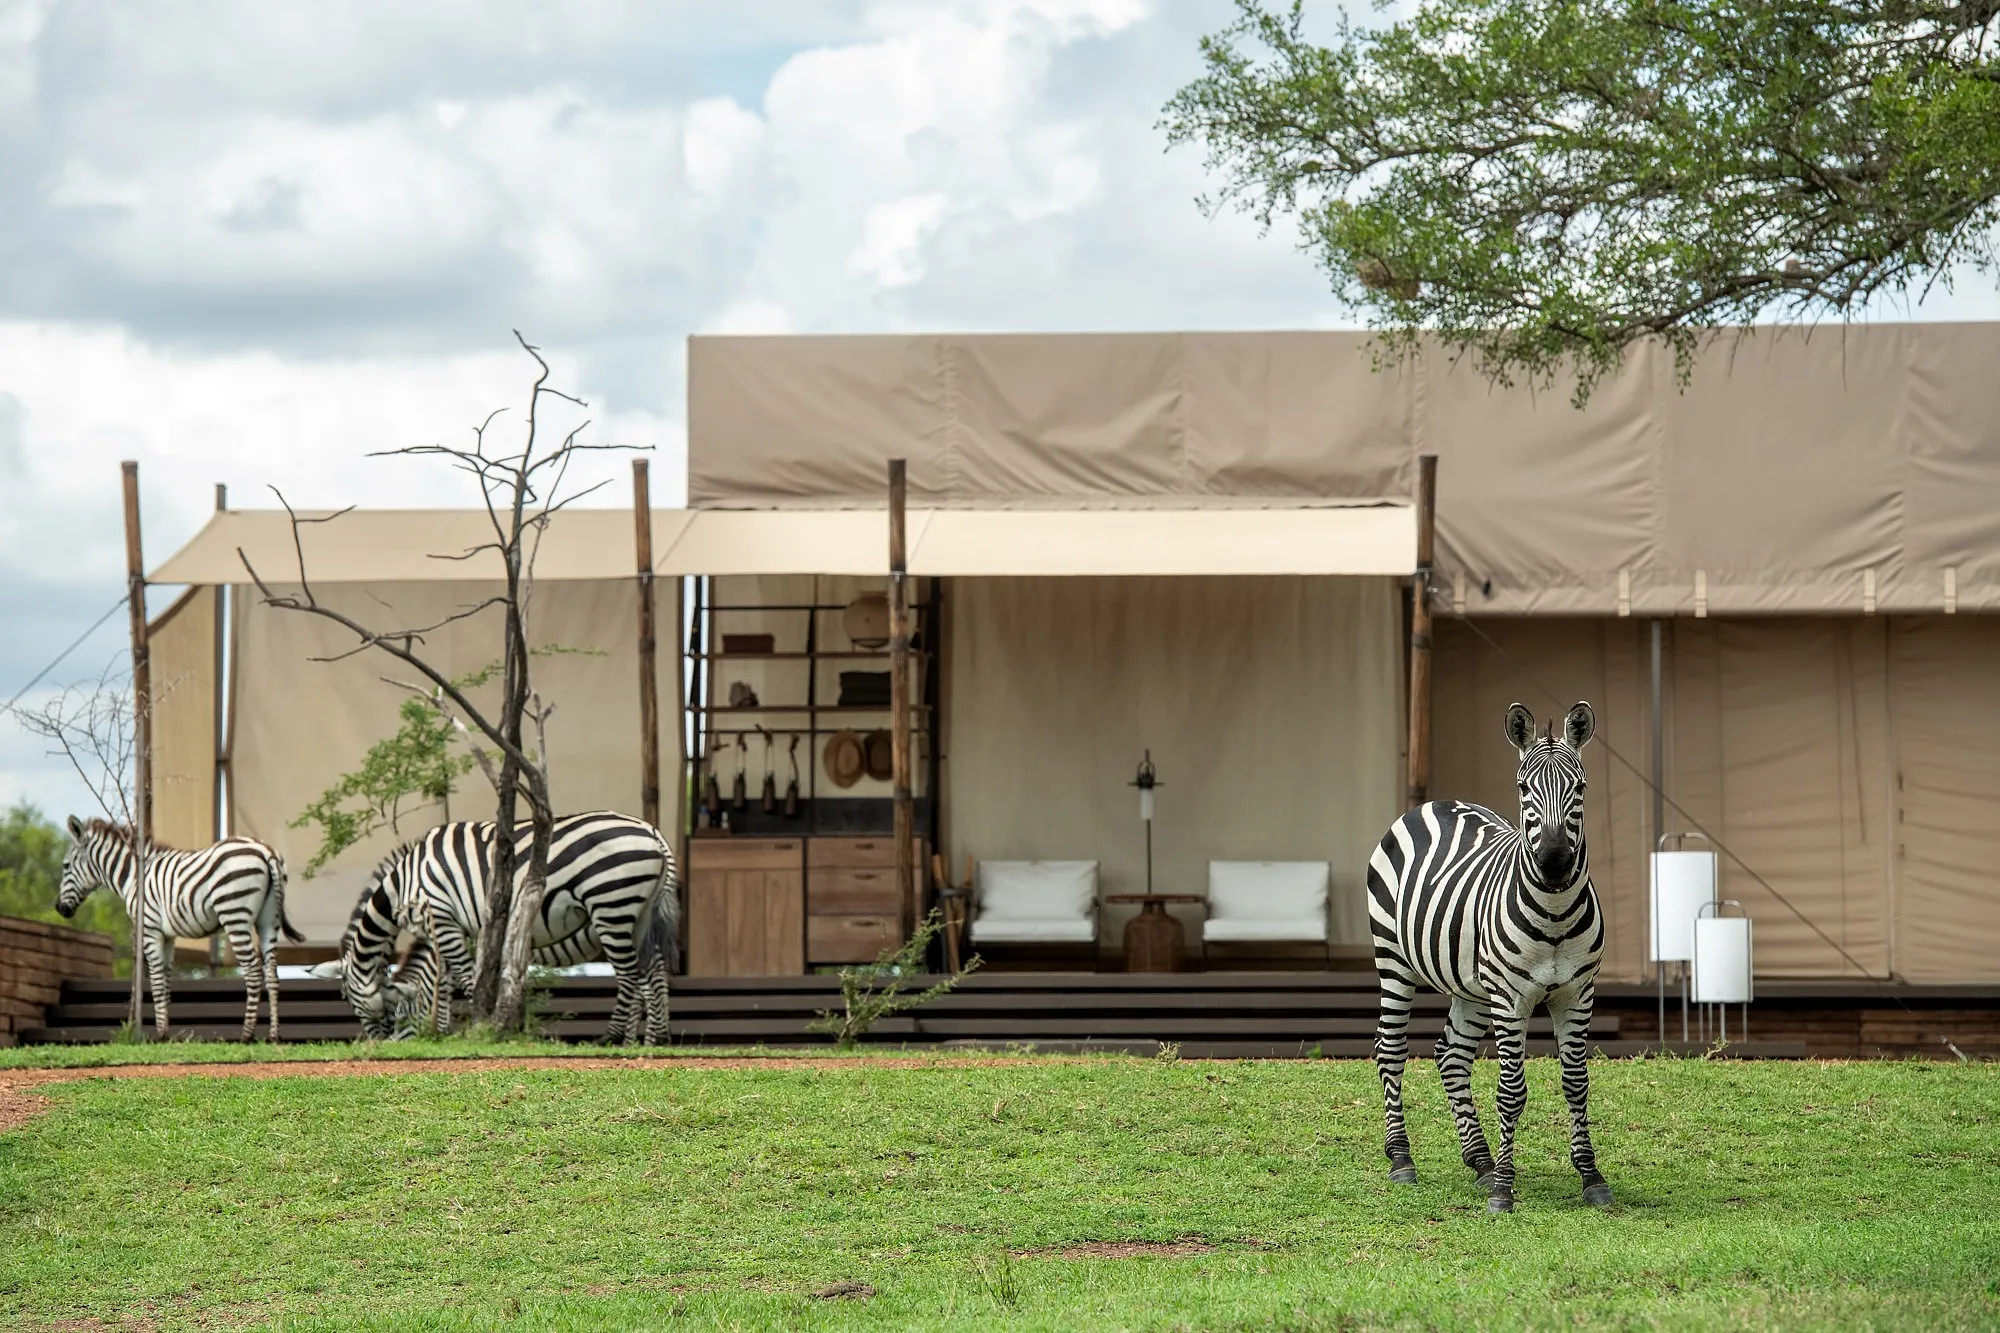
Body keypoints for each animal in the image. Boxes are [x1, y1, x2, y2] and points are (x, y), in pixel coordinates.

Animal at [56, 815, 305, 1041]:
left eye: (66, 866)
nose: (59, 908)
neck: (134, 876)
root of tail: (265, 850)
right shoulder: (168, 936)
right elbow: (166, 980)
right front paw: (167, 1032)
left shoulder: (149, 929)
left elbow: (156, 980)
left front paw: (159, 1035)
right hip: (268, 920)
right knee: (272, 973)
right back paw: (274, 1035)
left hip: (234, 913)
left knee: (253, 970)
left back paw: (246, 1034)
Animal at [334, 813, 678, 1044]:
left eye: (350, 1001)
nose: (375, 1043)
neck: (405, 882)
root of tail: (653, 832)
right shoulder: (457, 928)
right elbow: (446, 979)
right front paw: (444, 1030)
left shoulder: (444, 917)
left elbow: (461, 977)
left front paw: (478, 1023)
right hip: (639, 913)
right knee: (652, 974)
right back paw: (650, 1040)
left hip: (611, 904)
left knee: (632, 976)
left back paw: (614, 1037)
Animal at [1364, 701, 1611, 1214]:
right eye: (1523, 788)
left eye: (1579, 788)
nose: (1554, 862)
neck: (1554, 915)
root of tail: (1431, 803)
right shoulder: (1511, 997)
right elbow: (1512, 1090)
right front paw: (1504, 1189)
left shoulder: (1578, 993)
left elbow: (1576, 1083)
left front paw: (1590, 1175)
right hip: (1394, 960)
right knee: (1390, 1048)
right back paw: (1401, 1158)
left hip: (1473, 986)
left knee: (1451, 1054)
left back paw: (1479, 1159)